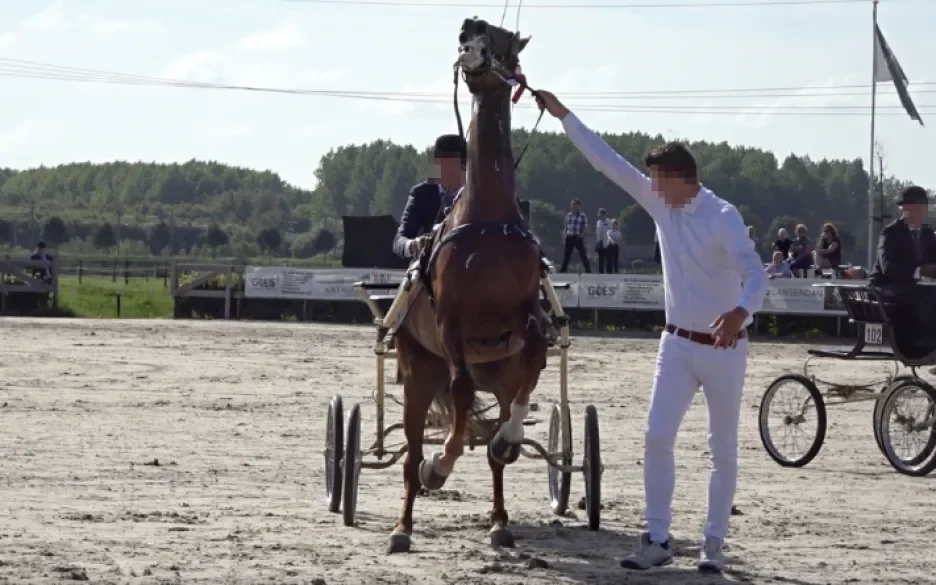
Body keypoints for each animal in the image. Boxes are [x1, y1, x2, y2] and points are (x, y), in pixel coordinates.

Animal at [388, 20, 548, 556]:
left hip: (496, 372)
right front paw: (440, 464)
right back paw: (403, 525)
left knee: (496, 450)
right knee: (410, 454)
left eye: (503, 39)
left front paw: (509, 437)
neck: (488, 220)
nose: (468, 33)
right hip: (418, 375)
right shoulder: (450, 322)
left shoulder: (526, 314)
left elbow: (536, 355)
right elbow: (458, 394)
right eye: (468, 34)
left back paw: (499, 520)